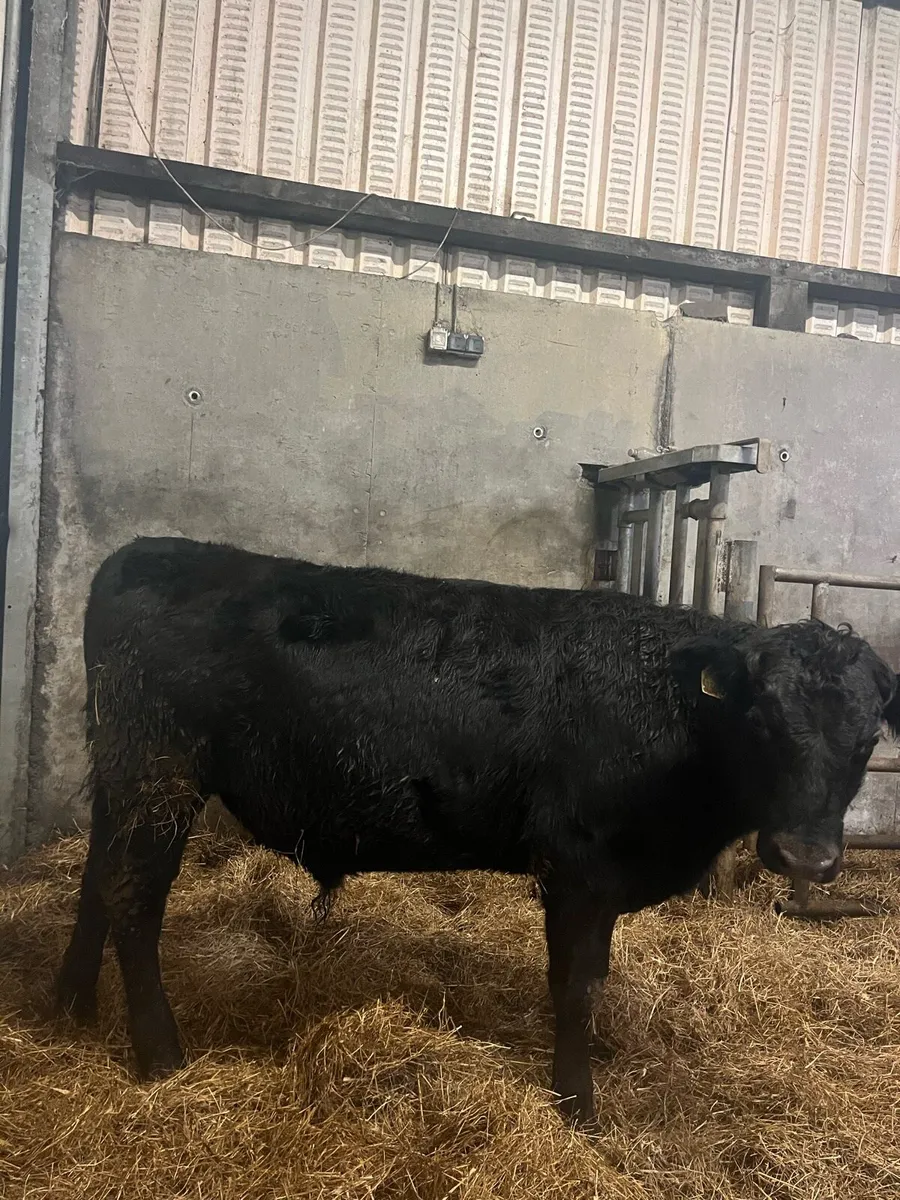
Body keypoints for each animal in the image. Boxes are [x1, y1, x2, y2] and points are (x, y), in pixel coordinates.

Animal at [56, 536, 900, 1122]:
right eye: (764, 721)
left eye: (868, 739)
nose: (806, 856)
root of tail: (149, 550)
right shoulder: (580, 868)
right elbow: (578, 987)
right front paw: (577, 1107)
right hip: (158, 774)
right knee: (133, 898)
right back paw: (160, 1056)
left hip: (124, 776)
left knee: (97, 878)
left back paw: (69, 1006)